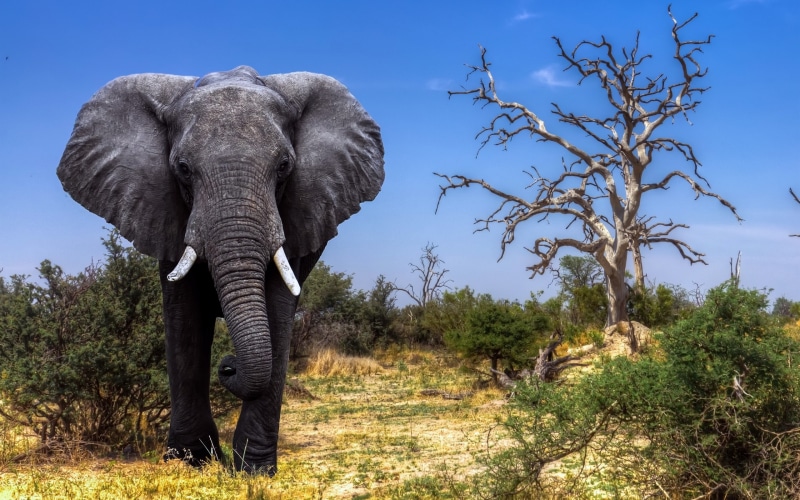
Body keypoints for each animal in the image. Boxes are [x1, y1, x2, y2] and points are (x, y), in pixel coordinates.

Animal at [56, 65, 384, 473]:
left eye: (284, 167)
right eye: (182, 168)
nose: (228, 367)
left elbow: (277, 313)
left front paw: (253, 470)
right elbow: (185, 319)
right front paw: (189, 461)